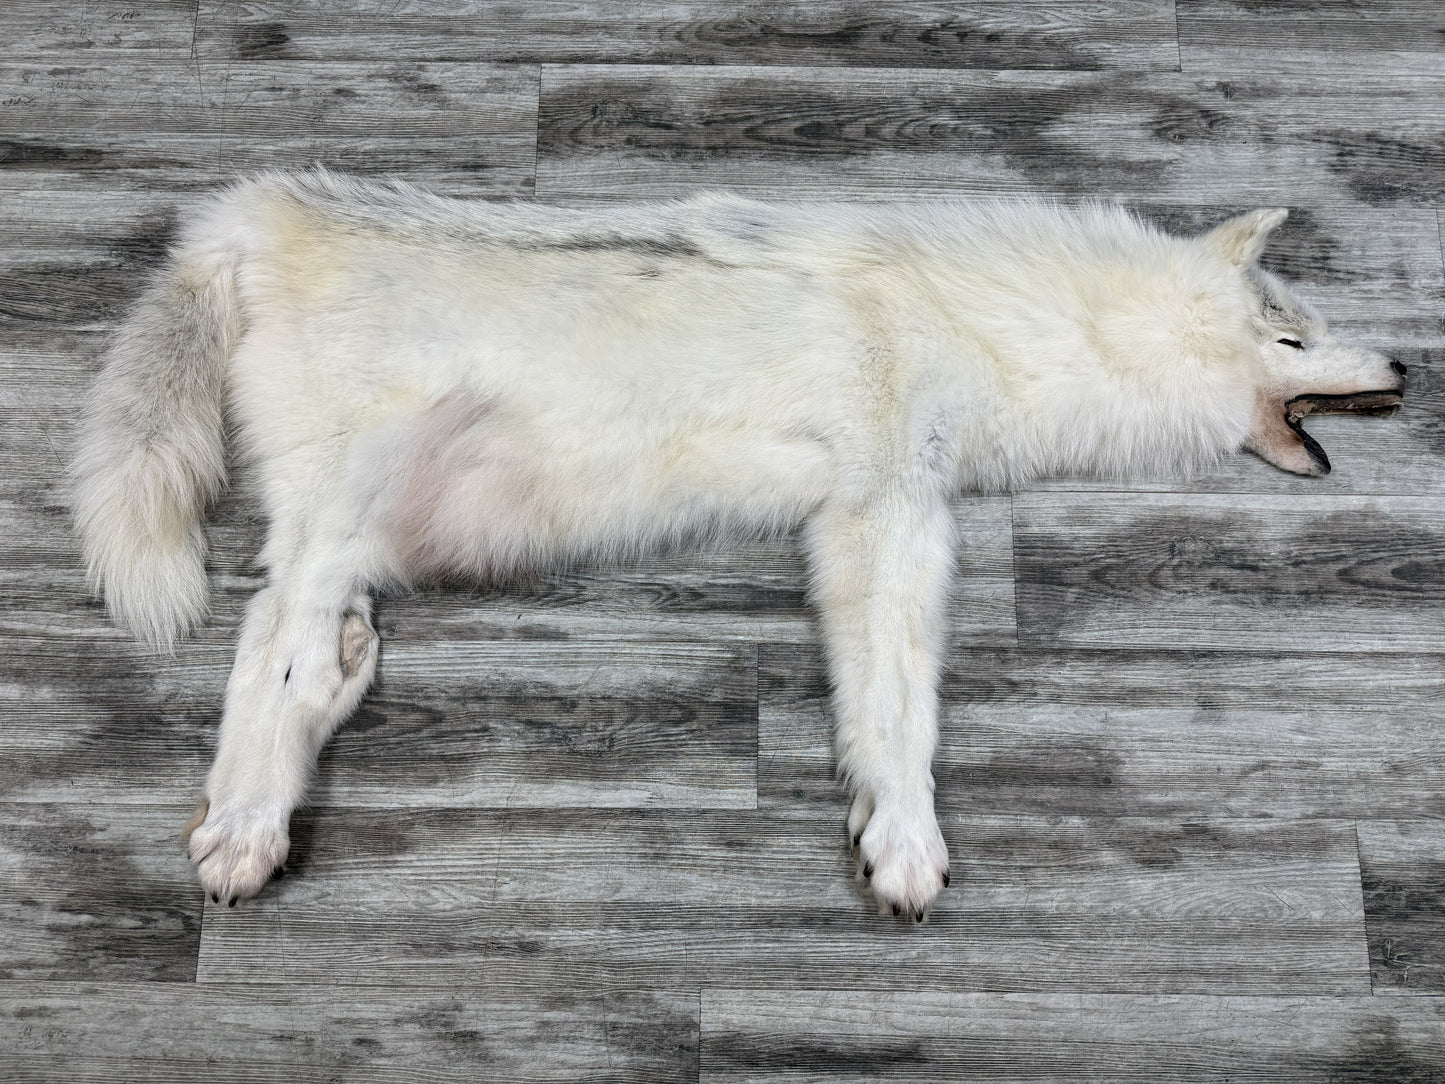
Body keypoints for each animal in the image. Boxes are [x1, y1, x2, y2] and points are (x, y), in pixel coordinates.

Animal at [73, 172, 1405, 919]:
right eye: (1291, 333)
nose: (1405, 360)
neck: (996, 327)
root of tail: (251, 215)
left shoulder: (879, 514)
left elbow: (881, 704)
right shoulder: (885, 513)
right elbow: (897, 712)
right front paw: (904, 841)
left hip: (380, 534)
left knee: (300, 654)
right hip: (336, 517)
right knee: (265, 653)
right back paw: (244, 833)